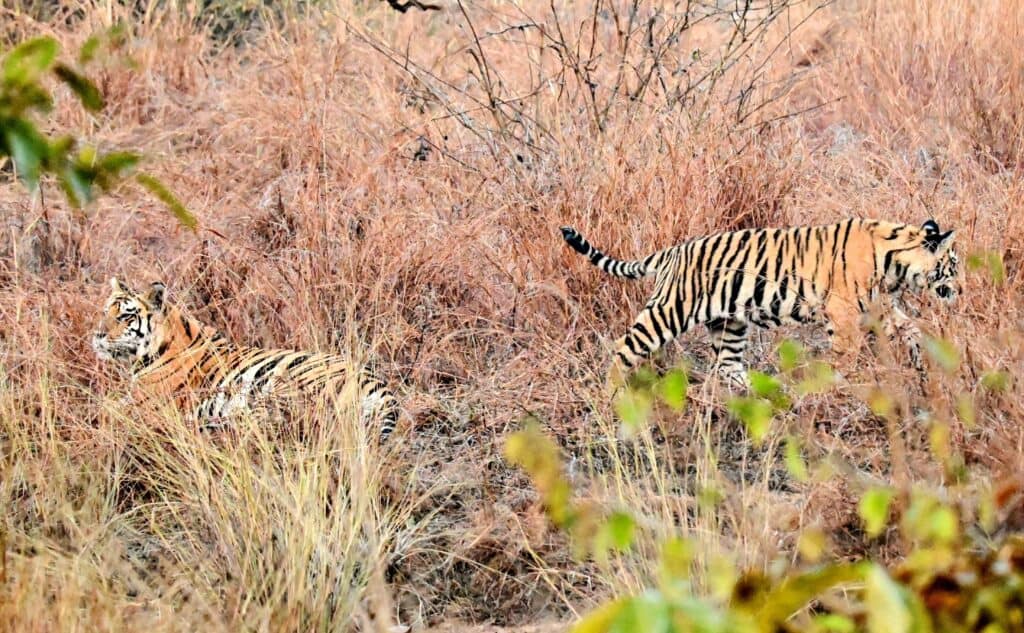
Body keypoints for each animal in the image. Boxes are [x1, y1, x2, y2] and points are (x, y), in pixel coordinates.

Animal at [91, 278, 399, 440]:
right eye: (105, 311)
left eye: (125, 316)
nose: (97, 334)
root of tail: (381, 388)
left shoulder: (145, 403)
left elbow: (105, 408)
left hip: (278, 391)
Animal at [561, 217, 958, 387]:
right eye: (953, 265)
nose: (960, 290)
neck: (895, 262)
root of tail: (672, 252)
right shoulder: (844, 314)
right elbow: (846, 354)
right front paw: (843, 382)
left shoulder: (879, 308)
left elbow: (911, 329)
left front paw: (924, 363)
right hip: (670, 311)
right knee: (624, 346)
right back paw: (613, 394)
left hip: (730, 323)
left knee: (726, 365)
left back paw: (756, 392)